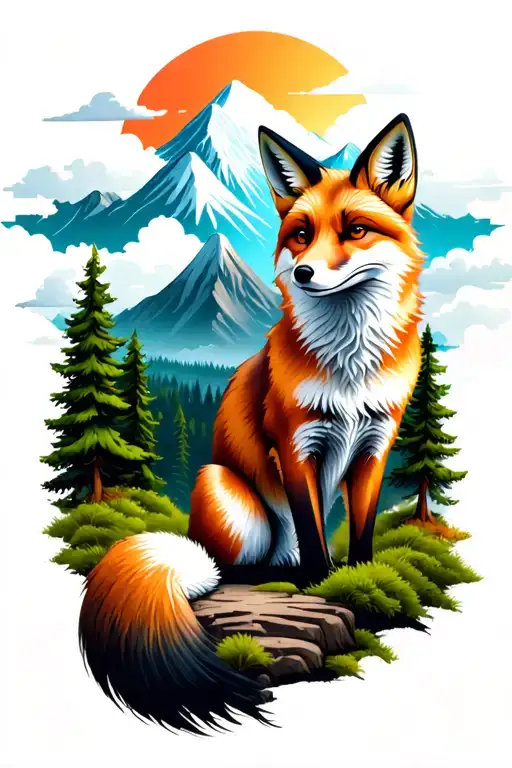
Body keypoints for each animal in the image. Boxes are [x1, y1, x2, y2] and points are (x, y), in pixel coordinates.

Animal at [79, 114, 424, 734]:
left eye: (357, 230)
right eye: (301, 234)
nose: (305, 273)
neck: (350, 368)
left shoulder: (374, 446)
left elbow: (361, 533)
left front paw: (361, 582)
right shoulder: (296, 444)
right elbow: (314, 535)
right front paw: (321, 584)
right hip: (226, 490)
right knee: (234, 570)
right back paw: (268, 576)